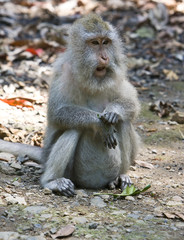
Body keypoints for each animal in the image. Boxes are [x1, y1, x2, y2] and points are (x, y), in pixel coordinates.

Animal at [0, 13, 139, 197]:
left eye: (106, 42)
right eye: (95, 43)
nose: (105, 58)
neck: (91, 79)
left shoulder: (116, 75)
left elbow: (131, 103)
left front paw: (113, 112)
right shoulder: (63, 71)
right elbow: (57, 112)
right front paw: (100, 124)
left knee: (123, 122)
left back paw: (120, 176)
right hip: (71, 172)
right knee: (74, 128)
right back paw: (52, 181)